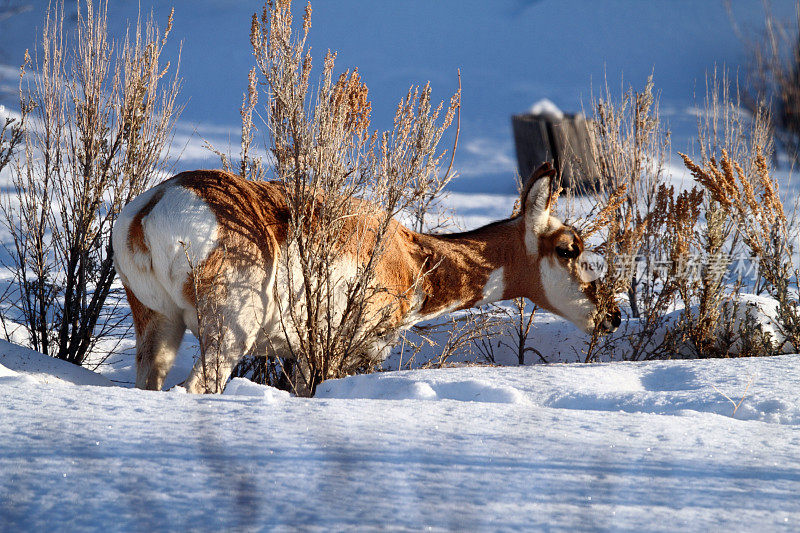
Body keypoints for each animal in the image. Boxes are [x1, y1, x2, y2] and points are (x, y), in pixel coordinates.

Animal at [112, 164, 620, 392]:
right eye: (569, 248)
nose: (612, 316)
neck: (410, 255)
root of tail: (154, 203)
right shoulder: (351, 350)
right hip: (228, 334)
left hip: (157, 324)